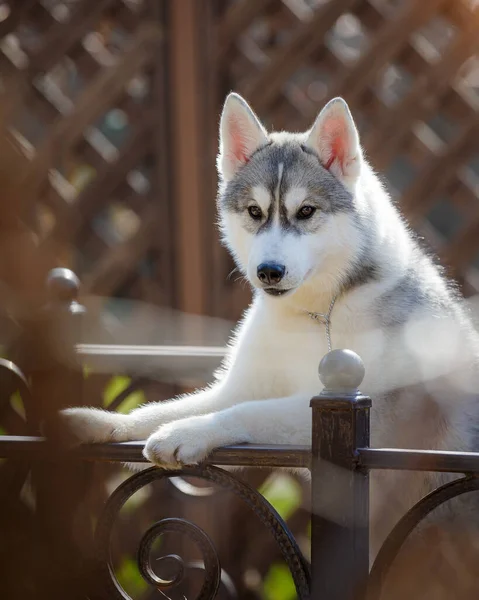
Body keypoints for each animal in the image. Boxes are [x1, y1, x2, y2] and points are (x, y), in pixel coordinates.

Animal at [60, 92, 479, 556]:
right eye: (255, 212)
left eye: (306, 211)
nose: (269, 271)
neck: (316, 315)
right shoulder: (238, 386)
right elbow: (162, 409)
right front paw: (101, 422)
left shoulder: (380, 422)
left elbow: (250, 412)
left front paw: (191, 430)